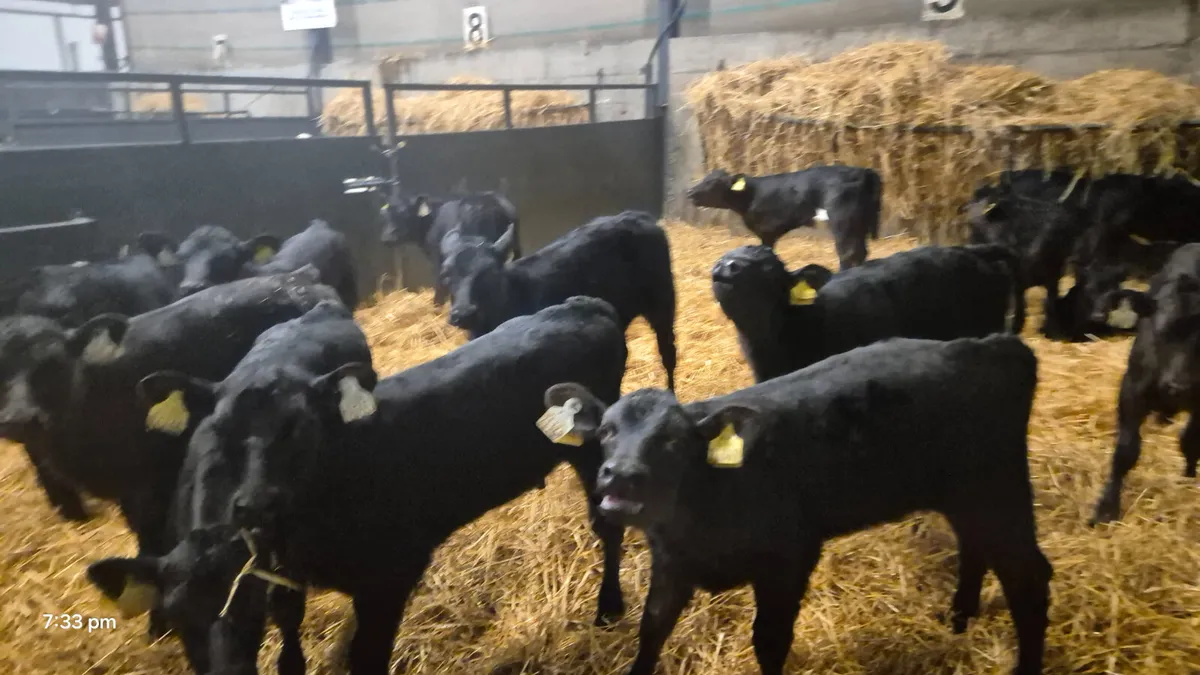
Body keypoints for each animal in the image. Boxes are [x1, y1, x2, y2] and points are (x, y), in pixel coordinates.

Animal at [441, 210, 677, 390]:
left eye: (488, 273)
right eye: (447, 274)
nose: (463, 313)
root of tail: (638, 216)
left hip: (663, 302)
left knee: (668, 354)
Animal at [545, 334, 1051, 675]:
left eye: (672, 440)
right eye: (607, 430)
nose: (620, 474)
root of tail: (990, 346)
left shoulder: (788, 558)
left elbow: (770, 642)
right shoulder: (673, 561)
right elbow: (652, 627)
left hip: (996, 491)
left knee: (1029, 579)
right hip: (967, 498)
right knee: (975, 549)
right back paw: (958, 618)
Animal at [686, 166, 882, 270]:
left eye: (712, 183)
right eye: (705, 178)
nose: (689, 192)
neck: (752, 194)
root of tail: (862, 171)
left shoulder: (766, 230)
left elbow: (766, 250)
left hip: (843, 221)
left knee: (848, 252)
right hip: (860, 222)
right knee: (861, 252)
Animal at [1091, 243, 1200, 525]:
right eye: (1162, 332)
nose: (1179, 386)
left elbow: (1190, 440)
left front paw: (1188, 476)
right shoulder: (1131, 390)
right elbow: (1126, 451)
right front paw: (1106, 508)